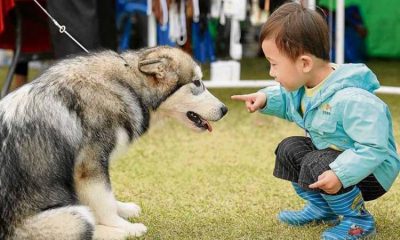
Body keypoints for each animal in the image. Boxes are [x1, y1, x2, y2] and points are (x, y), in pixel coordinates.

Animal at [0, 46, 227, 239]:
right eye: (197, 82)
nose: (225, 109)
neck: (128, 84)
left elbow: (107, 197)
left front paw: (123, 209)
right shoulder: (89, 165)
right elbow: (105, 202)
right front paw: (123, 226)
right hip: (73, 217)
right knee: (88, 226)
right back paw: (122, 232)